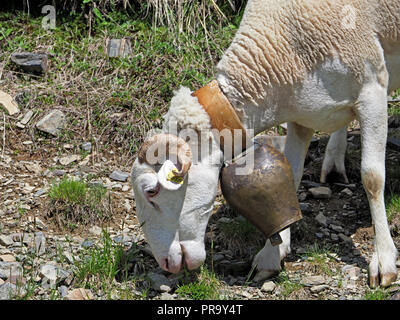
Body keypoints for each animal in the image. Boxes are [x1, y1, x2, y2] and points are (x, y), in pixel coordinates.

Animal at [131, 0, 400, 288]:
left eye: (151, 191)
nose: (165, 264)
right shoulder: (302, 115)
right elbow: (290, 178)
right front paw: (272, 254)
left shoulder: (371, 89)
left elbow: (372, 178)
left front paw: (383, 261)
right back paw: (334, 160)